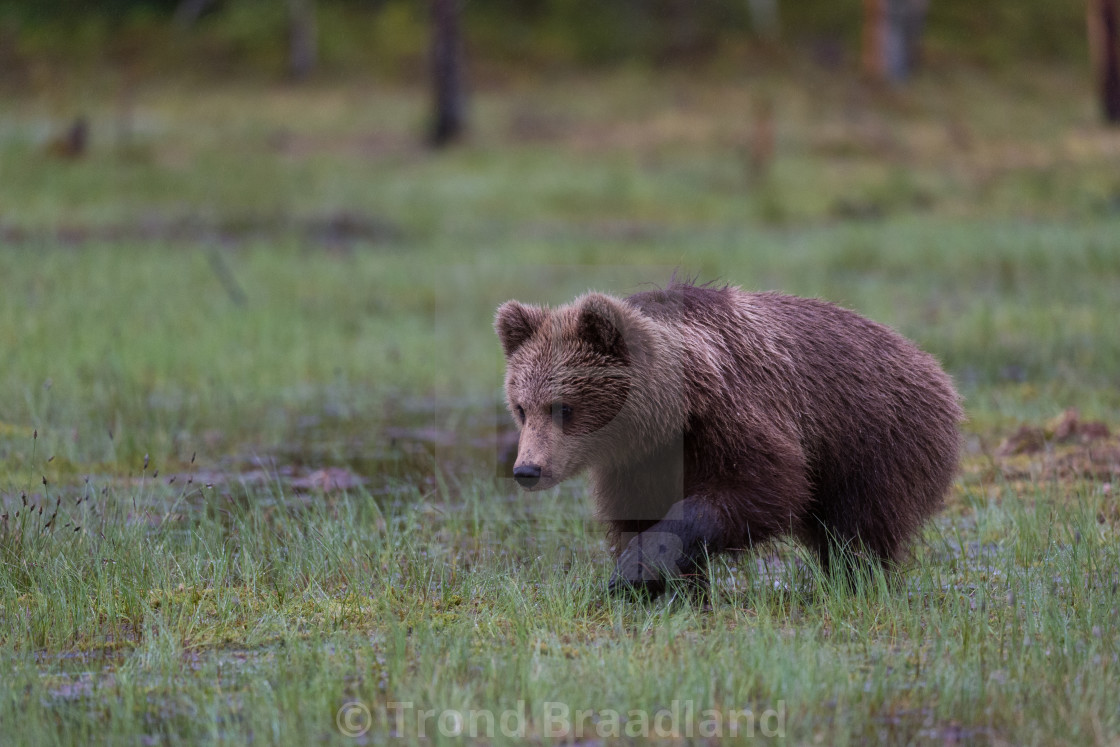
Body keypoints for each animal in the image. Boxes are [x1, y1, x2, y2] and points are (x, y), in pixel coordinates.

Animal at [499, 278, 963, 595]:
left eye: (563, 407)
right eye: (521, 407)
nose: (527, 469)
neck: (673, 411)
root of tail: (933, 366)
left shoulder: (735, 413)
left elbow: (762, 487)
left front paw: (639, 567)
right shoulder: (641, 460)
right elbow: (638, 510)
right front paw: (668, 585)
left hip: (872, 439)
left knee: (858, 527)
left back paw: (854, 582)